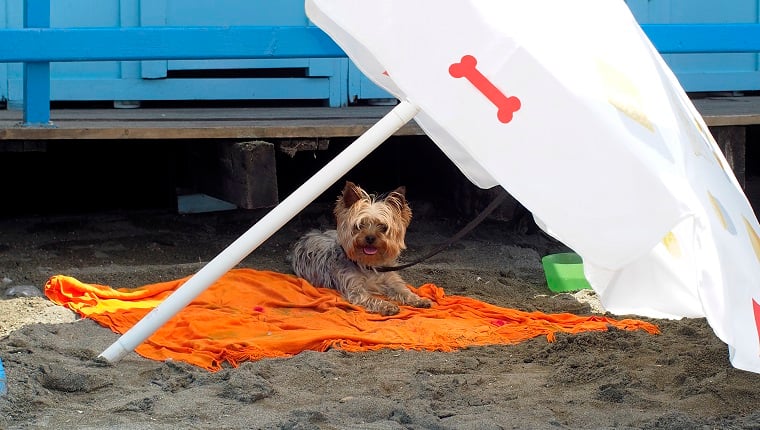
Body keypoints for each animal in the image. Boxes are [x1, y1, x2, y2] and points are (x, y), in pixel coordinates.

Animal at [290, 181, 434, 316]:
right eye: (359, 226)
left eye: (383, 227)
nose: (370, 238)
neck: (369, 264)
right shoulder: (355, 288)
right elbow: (371, 298)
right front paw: (387, 306)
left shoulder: (391, 279)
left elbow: (403, 289)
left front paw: (418, 299)